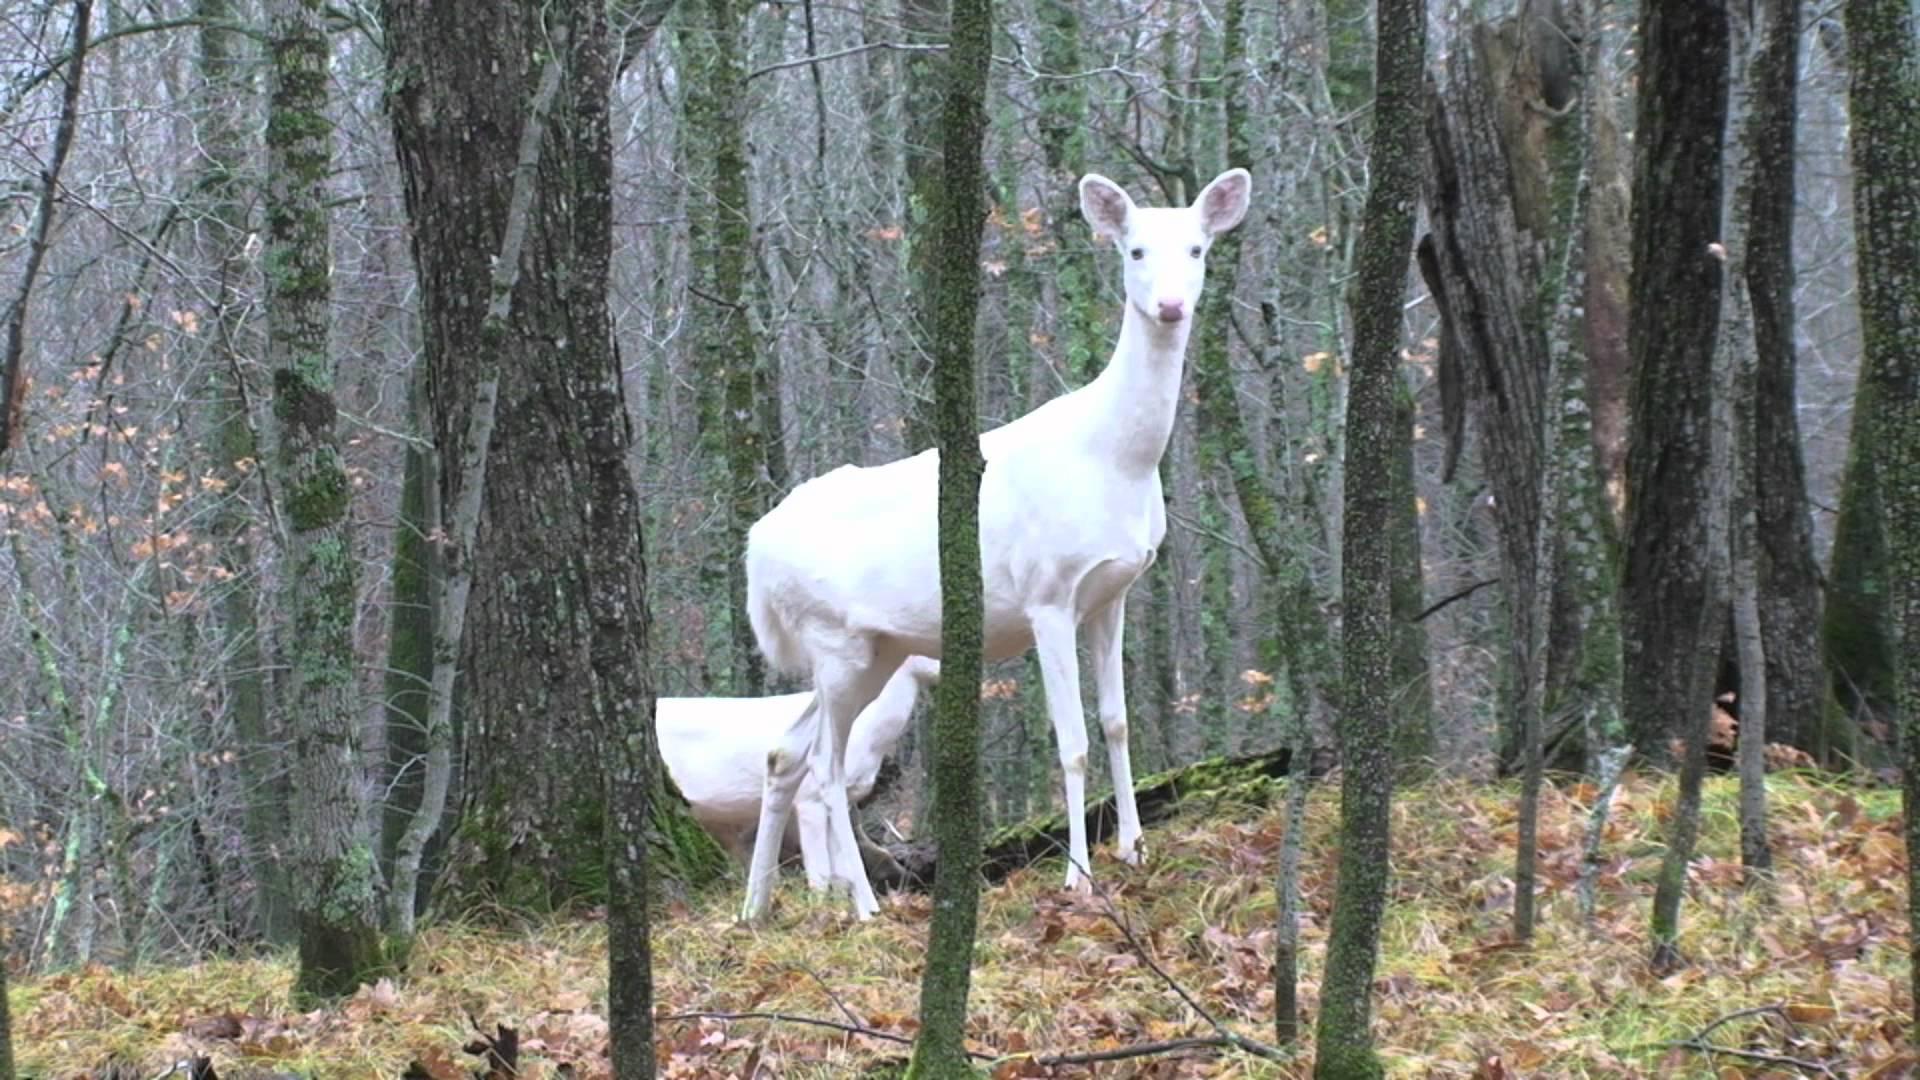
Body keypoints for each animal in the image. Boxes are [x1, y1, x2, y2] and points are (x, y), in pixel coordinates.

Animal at [737, 168, 1253, 921]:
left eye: (1197, 249)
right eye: (1133, 250)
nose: (1169, 306)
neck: (1116, 461)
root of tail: (756, 548)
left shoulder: (1113, 591)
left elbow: (1118, 721)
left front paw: (1134, 849)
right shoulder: (1047, 593)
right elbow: (1072, 743)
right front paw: (1078, 876)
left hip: (874, 651)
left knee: (784, 756)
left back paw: (757, 909)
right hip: (834, 641)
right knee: (826, 772)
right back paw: (864, 907)